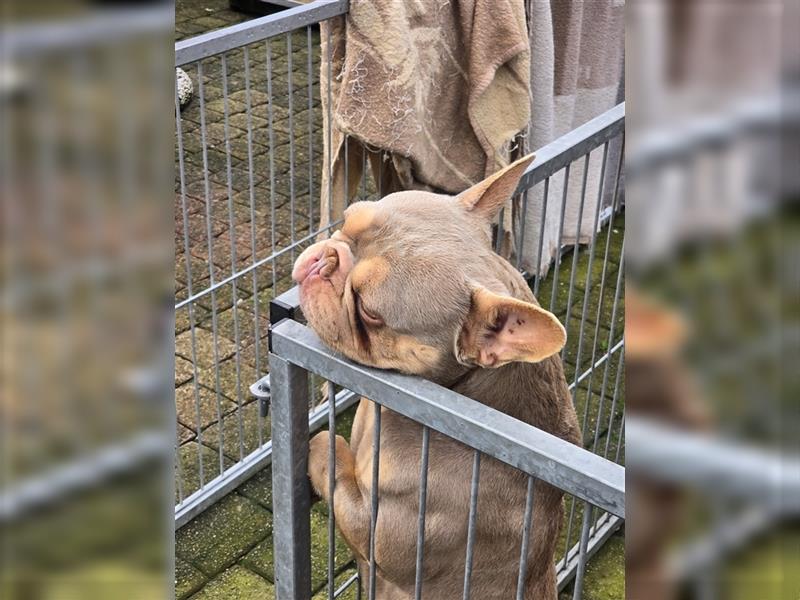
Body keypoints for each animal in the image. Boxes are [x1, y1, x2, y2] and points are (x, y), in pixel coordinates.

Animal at [290, 156, 580, 600]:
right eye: (346, 220)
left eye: (370, 311)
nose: (325, 260)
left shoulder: (375, 526)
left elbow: (331, 451)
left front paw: (320, 443)